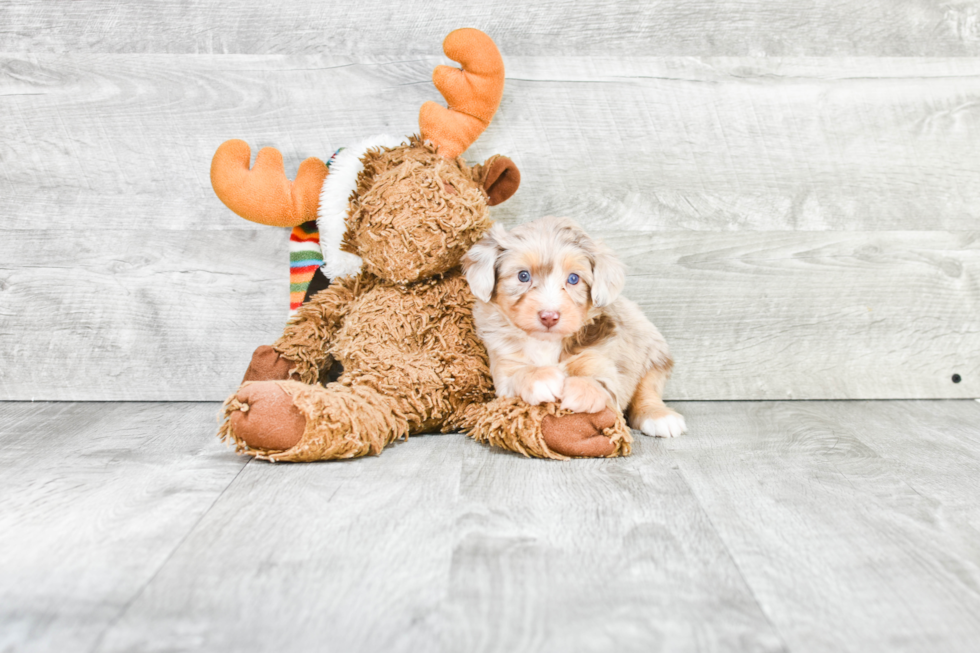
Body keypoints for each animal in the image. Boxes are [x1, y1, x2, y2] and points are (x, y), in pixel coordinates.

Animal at [464, 216, 684, 436]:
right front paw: (539, 377)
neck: (546, 342)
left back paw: (659, 416)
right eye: (523, 276)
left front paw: (580, 389)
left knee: (647, 388)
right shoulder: (504, 368)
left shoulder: (602, 363)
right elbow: (518, 375)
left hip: (653, 351)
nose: (549, 316)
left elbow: (602, 383)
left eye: (573, 278)